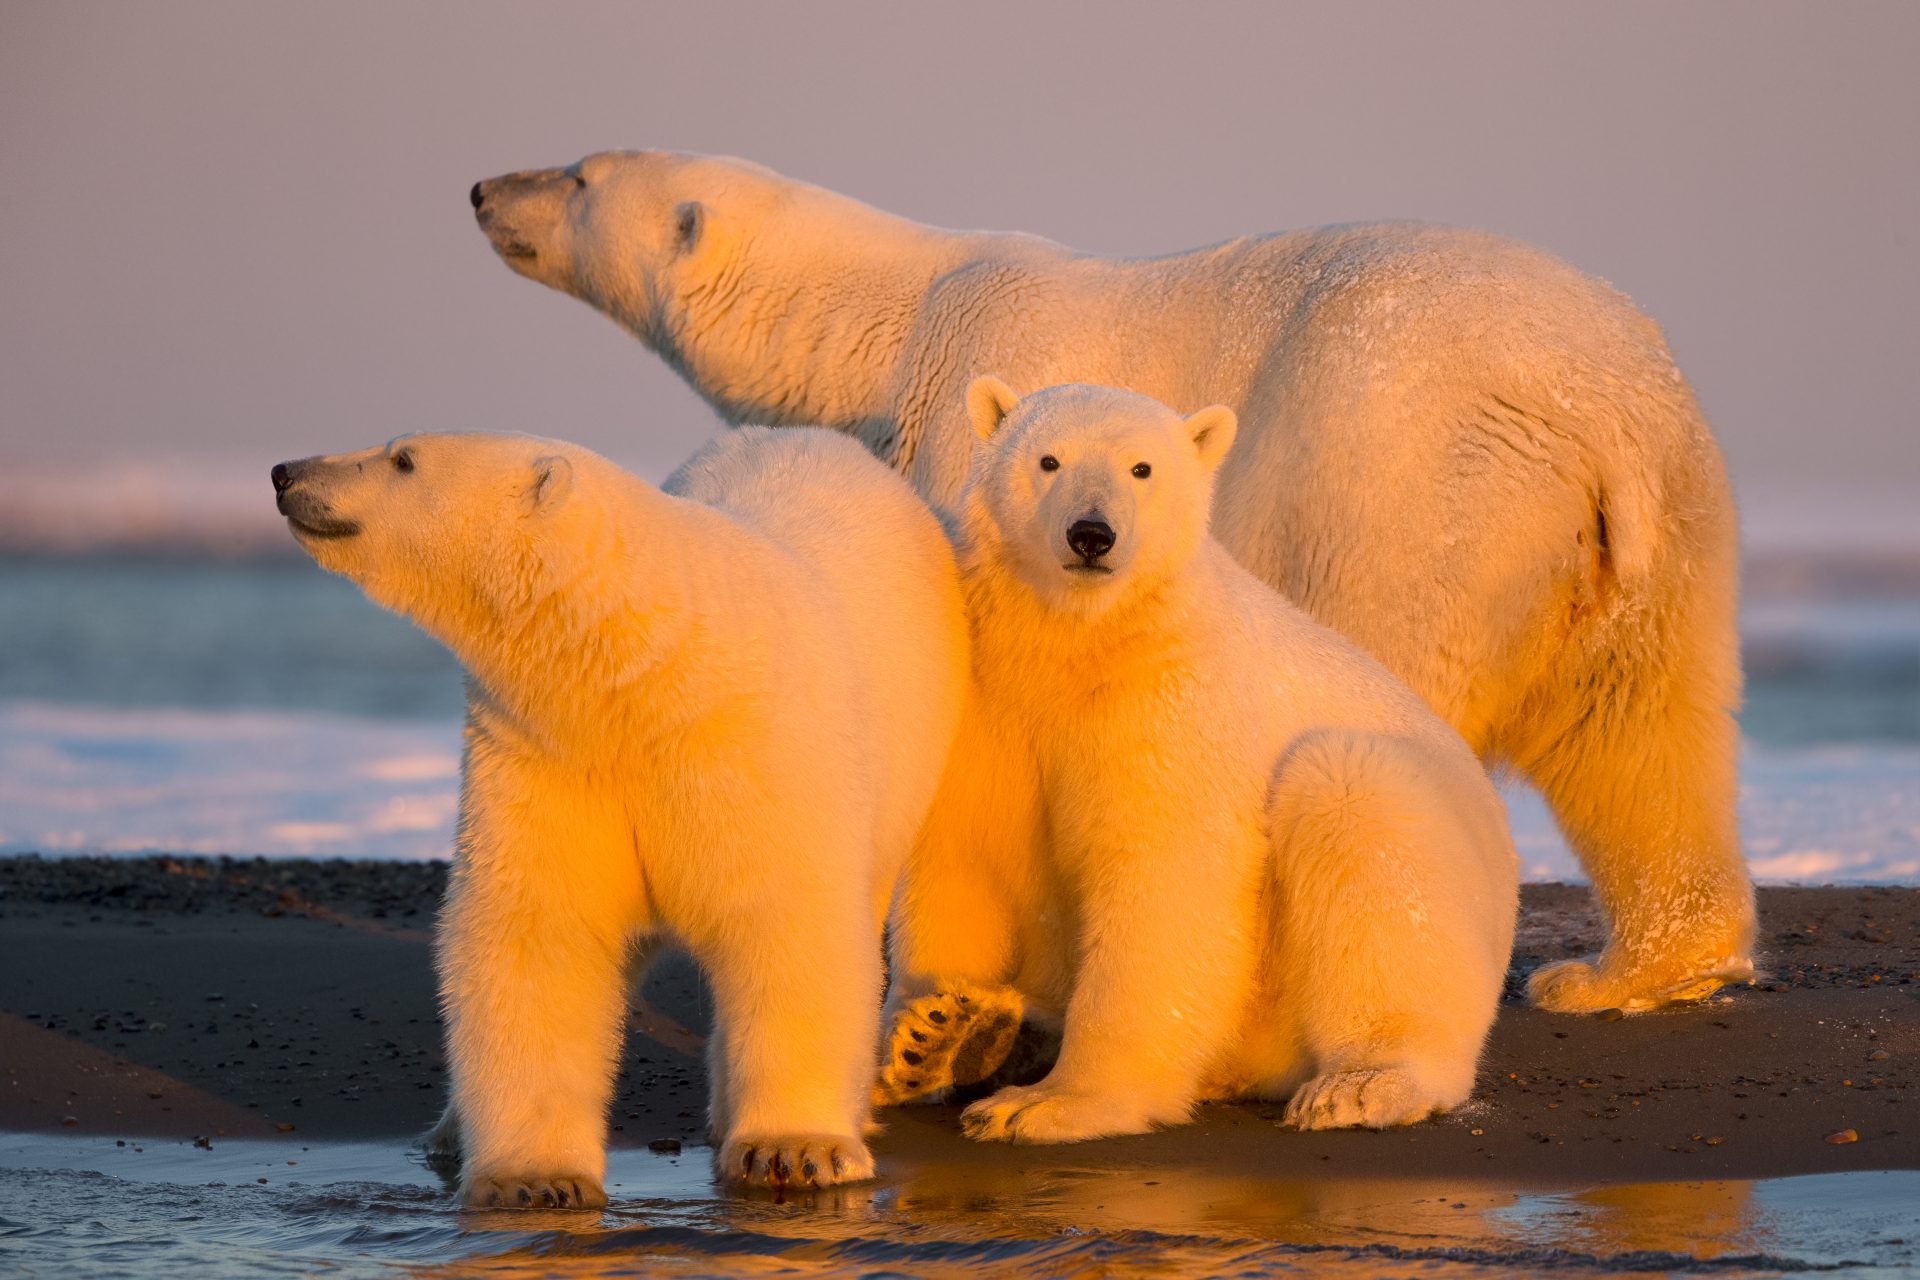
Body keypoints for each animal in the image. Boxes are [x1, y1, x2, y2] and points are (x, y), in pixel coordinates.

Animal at [266, 427, 975, 1205]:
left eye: (402, 459)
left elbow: (785, 921)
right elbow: (540, 933)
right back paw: (452, 1131)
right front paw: (533, 1180)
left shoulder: (752, 750)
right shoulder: (547, 753)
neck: (642, 671)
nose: (285, 472)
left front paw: (793, 1149)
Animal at [468, 152, 1758, 1013]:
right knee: (1645, 732)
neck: (893, 326)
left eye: (577, 176)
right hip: (1660, 516)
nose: (483, 189)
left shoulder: (982, 441)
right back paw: (1621, 969)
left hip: (1415, 486)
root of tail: (1595, 415)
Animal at [871, 379, 1512, 1143]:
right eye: (1049, 460)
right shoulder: (983, 694)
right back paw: (986, 1038)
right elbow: (961, 853)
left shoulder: (1169, 697)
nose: (1092, 535)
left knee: (1358, 805)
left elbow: (1162, 876)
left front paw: (1048, 1103)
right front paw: (932, 1031)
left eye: (1142, 469)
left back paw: (1361, 1084)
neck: (1077, 639)